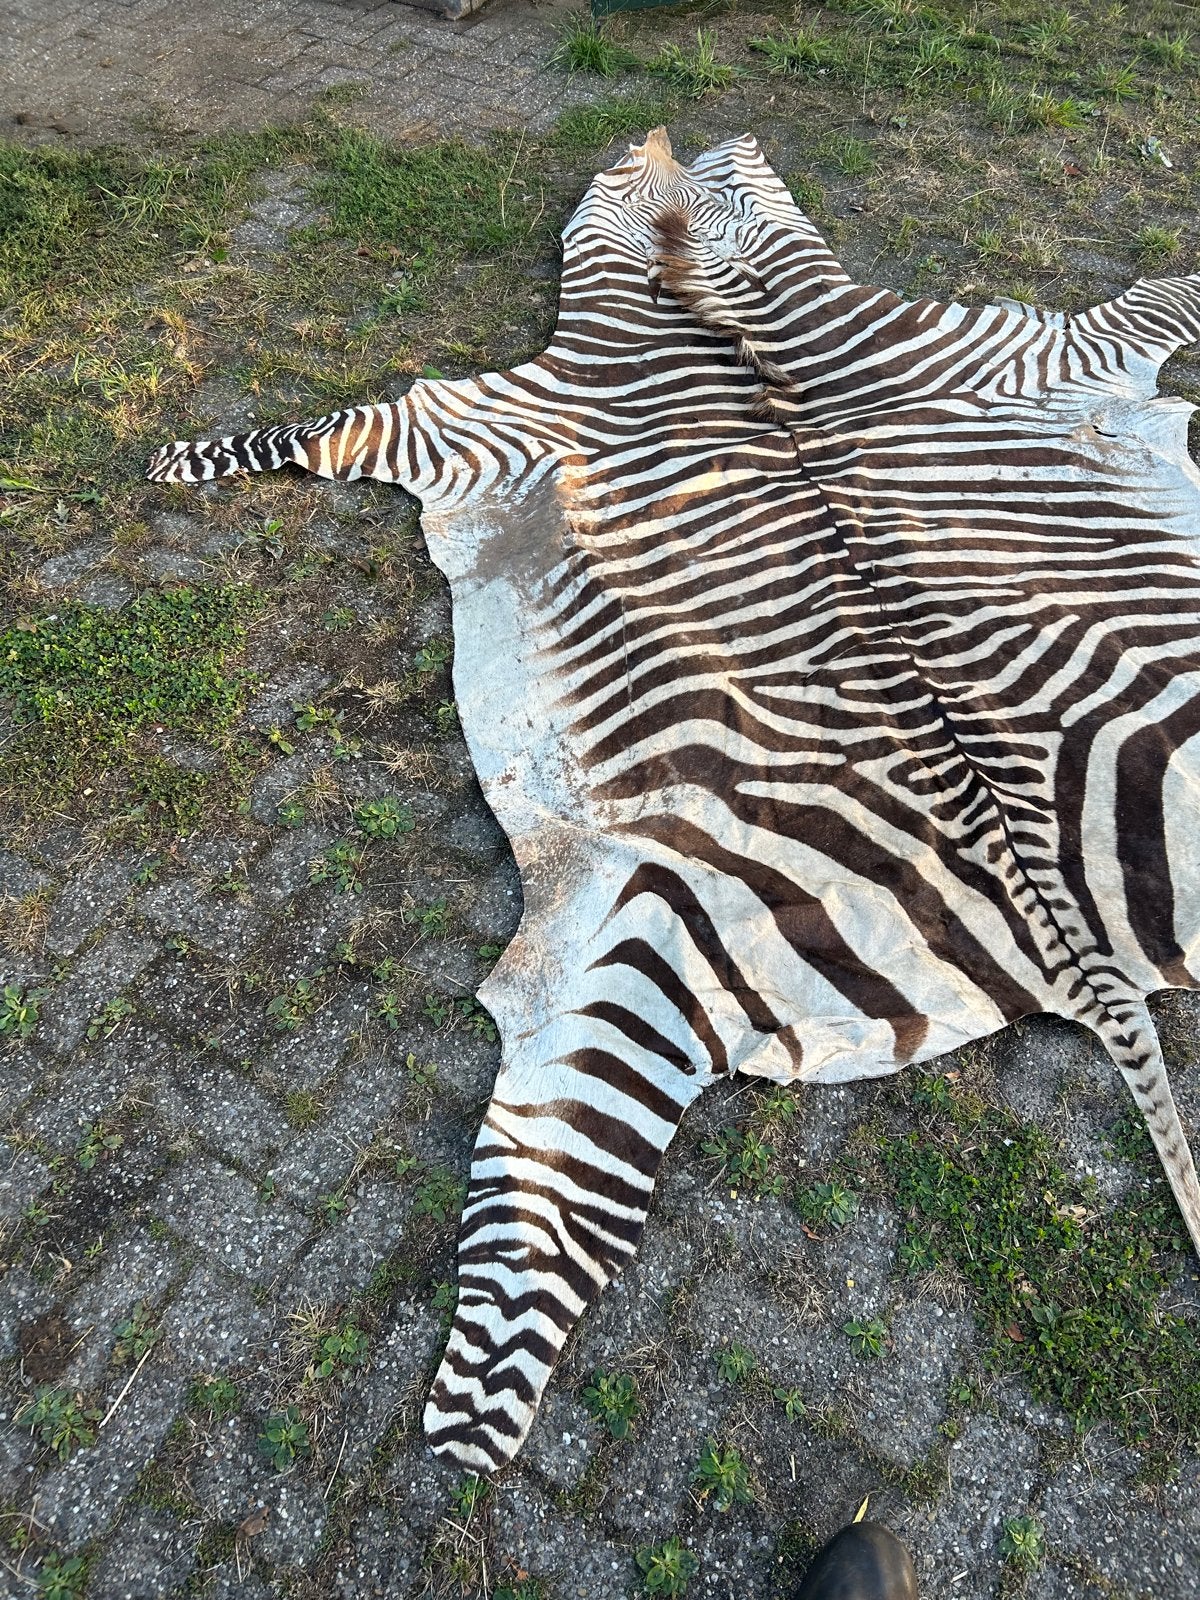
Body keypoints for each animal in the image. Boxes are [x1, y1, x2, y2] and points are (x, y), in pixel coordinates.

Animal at [149, 128, 1200, 1473]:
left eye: (723, 168)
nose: (666, 135)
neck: (724, 307)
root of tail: (1084, 944)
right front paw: (174, 458)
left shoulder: (465, 417)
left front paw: (168, 457)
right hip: (662, 932)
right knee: (556, 1195)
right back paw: (462, 1435)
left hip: (648, 940)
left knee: (547, 1193)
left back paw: (454, 1445)